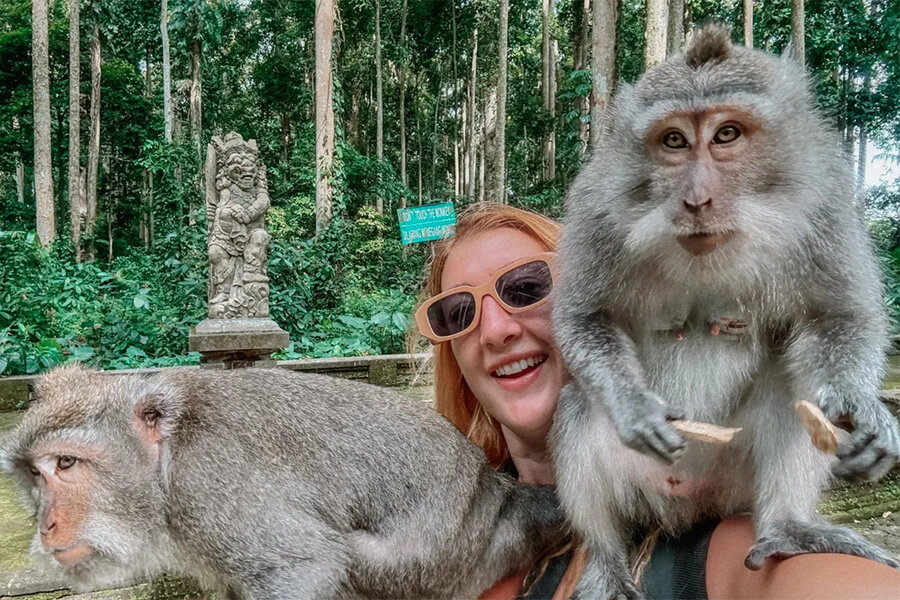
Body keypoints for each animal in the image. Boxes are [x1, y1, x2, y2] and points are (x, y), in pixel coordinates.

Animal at [1, 364, 567, 599]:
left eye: (67, 464)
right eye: (35, 473)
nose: (47, 525)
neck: (166, 464)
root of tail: (496, 490)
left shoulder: (211, 487)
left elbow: (305, 566)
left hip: (443, 562)